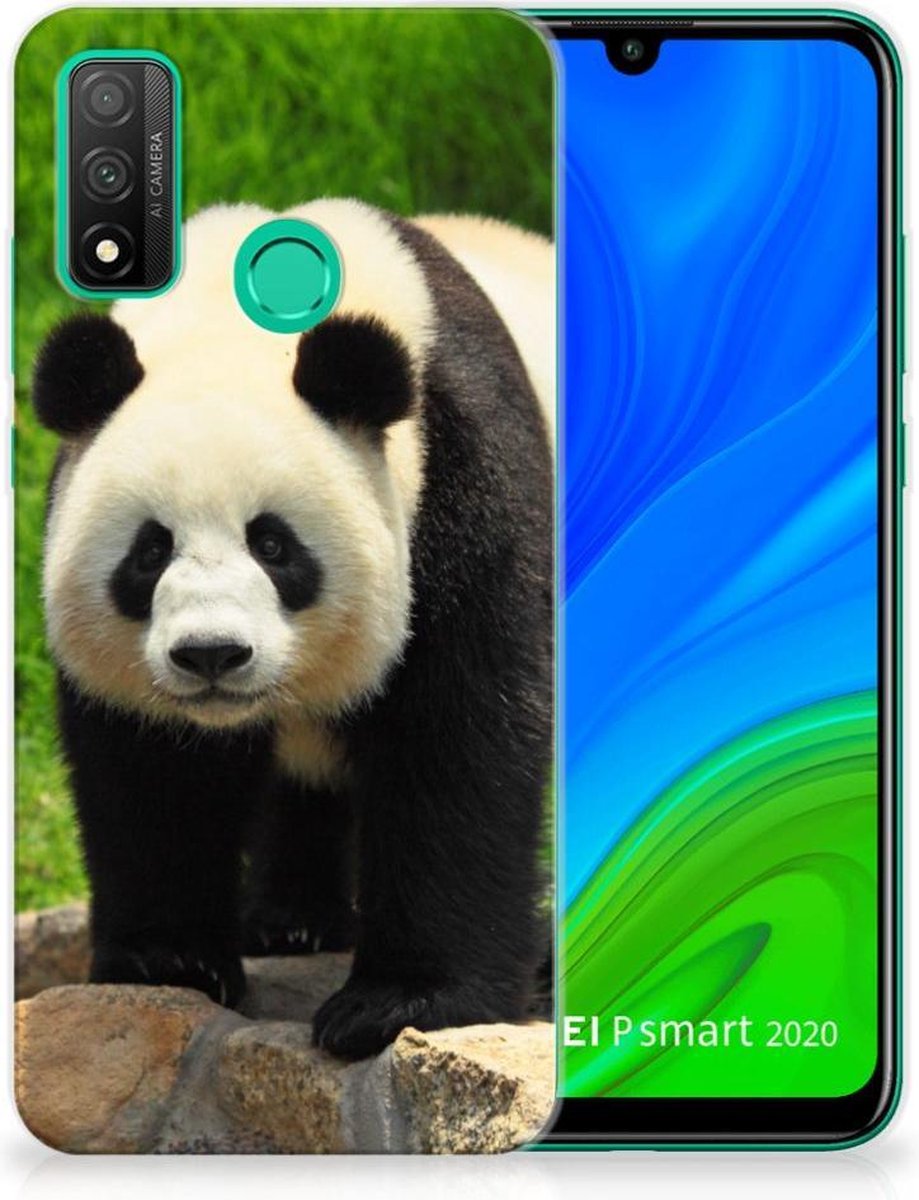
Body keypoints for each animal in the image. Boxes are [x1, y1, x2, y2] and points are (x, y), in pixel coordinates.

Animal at [32, 199, 554, 1060]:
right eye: (149, 551)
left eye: (273, 545)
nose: (211, 654)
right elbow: (152, 769)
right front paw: (169, 960)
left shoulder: (463, 479)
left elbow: (460, 736)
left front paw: (398, 1002)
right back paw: (291, 921)